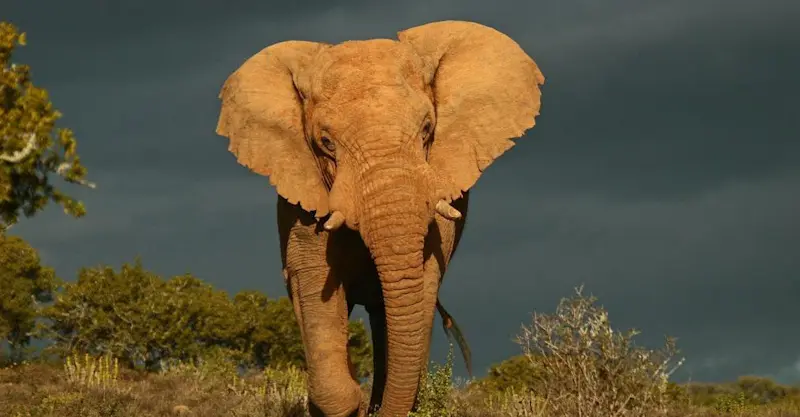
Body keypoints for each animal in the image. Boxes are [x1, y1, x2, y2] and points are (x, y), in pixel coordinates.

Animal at [215, 20, 544, 417]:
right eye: (326, 142)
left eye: (427, 129)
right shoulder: (300, 203)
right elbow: (314, 284)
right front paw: (350, 404)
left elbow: (420, 283)